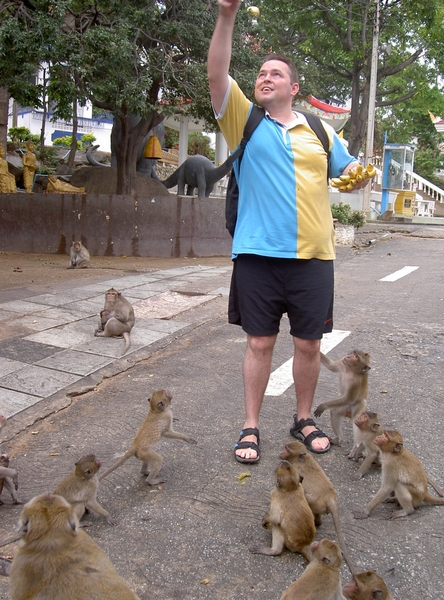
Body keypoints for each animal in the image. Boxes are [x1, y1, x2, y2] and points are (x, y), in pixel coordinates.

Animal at [280, 440, 356, 572]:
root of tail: (331, 498)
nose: (281, 452)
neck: (301, 460)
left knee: (307, 499)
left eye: (287, 450)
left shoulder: (295, 470)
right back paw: (318, 522)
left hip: (316, 503)